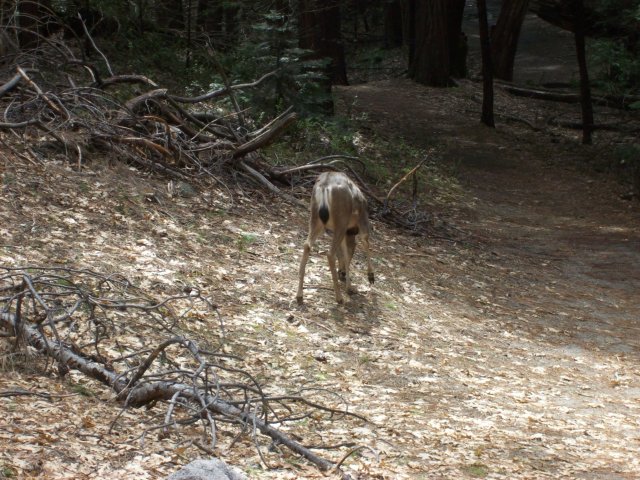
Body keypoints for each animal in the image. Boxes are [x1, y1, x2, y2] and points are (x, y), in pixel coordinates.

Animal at [296, 172, 372, 304]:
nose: (342, 273)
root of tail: (324, 186)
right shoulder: (362, 221)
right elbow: (364, 242)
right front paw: (370, 276)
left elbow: (344, 253)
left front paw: (349, 287)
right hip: (341, 220)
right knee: (330, 253)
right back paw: (339, 297)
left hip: (316, 219)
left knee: (307, 245)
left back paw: (299, 295)